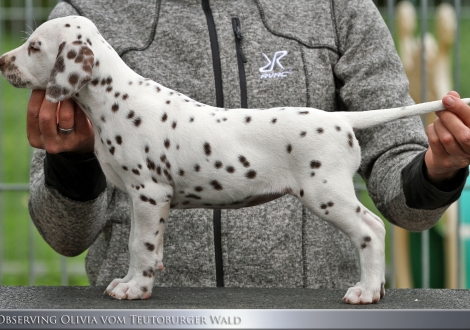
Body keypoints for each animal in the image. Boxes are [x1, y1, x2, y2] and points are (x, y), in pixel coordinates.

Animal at [1, 16, 468, 304]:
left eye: (35, 46)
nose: (3, 60)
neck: (115, 97)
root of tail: (338, 119)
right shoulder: (143, 200)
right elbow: (148, 245)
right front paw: (139, 278)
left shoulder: (149, 193)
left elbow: (139, 245)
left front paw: (134, 288)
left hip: (326, 193)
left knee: (371, 229)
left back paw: (367, 290)